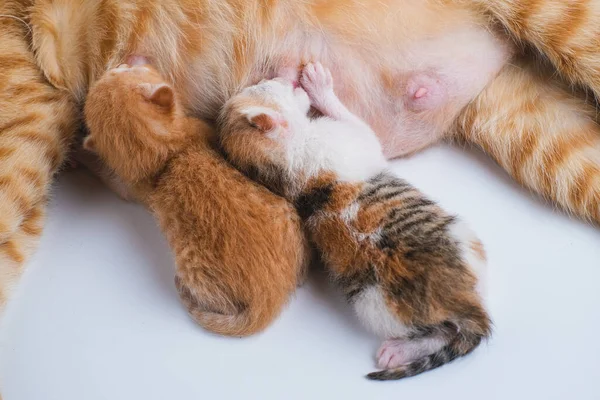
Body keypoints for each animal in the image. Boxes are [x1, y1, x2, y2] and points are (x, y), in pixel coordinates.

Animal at [218, 61, 490, 378]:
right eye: (268, 86)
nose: (282, 76)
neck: (286, 162)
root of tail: (461, 302)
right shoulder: (350, 135)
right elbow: (355, 121)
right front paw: (319, 85)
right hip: (464, 244)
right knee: (450, 331)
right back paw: (398, 351)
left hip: (372, 302)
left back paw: (400, 352)